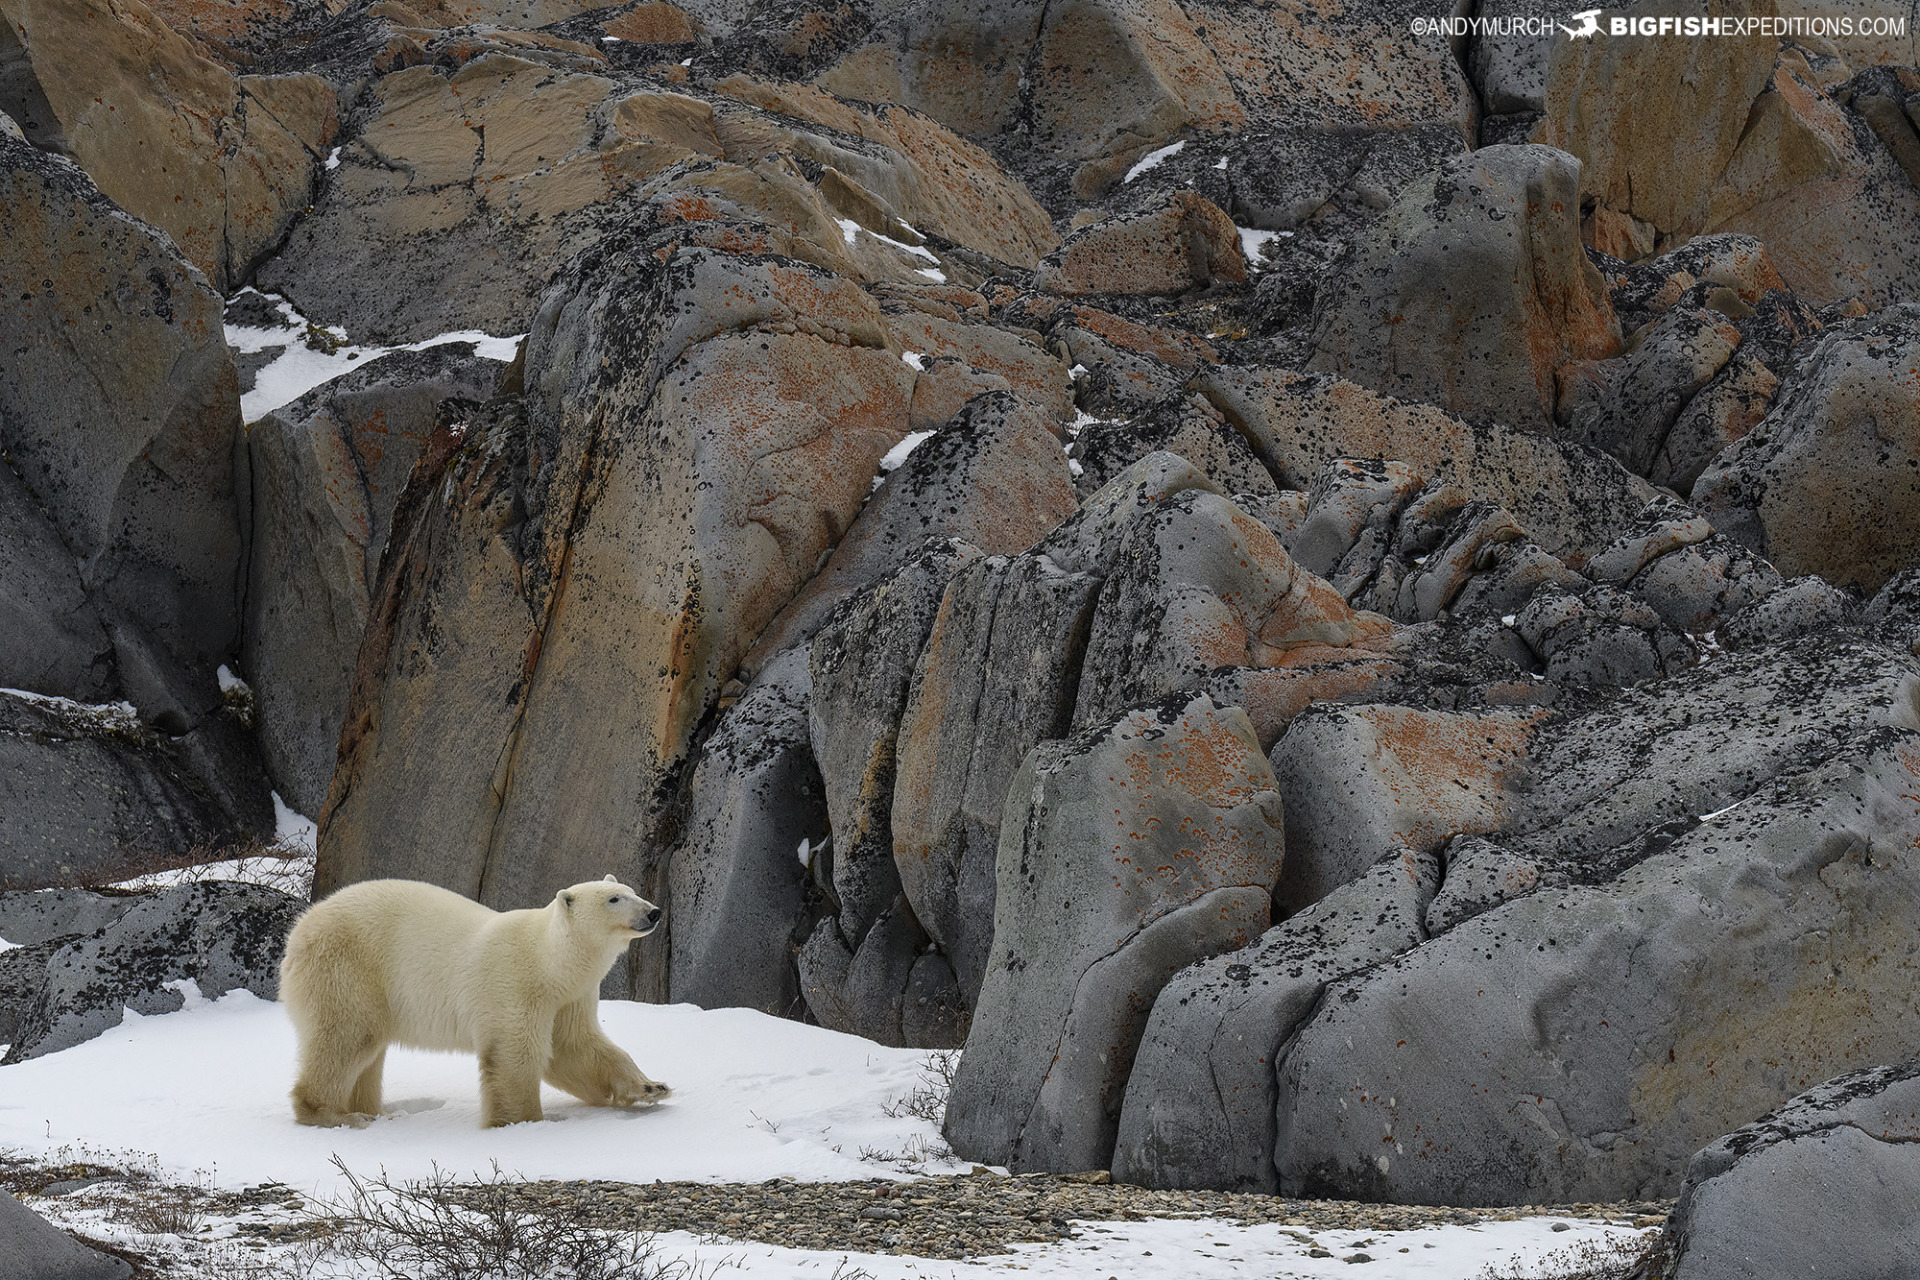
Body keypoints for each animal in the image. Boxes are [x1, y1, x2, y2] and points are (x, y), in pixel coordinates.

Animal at [280, 875, 670, 1128]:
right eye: (613, 899)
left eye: (632, 890)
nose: (653, 912)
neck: (548, 961)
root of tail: (299, 930)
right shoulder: (515, 986)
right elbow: (516, 1055)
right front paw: (523, 1122)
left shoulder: (569, 997)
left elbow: (576, 1047)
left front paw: (651, 1087)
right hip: (348, 969)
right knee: (348, 1038)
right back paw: (338, 1114)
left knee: (368, 1055)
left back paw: (377, 1112)